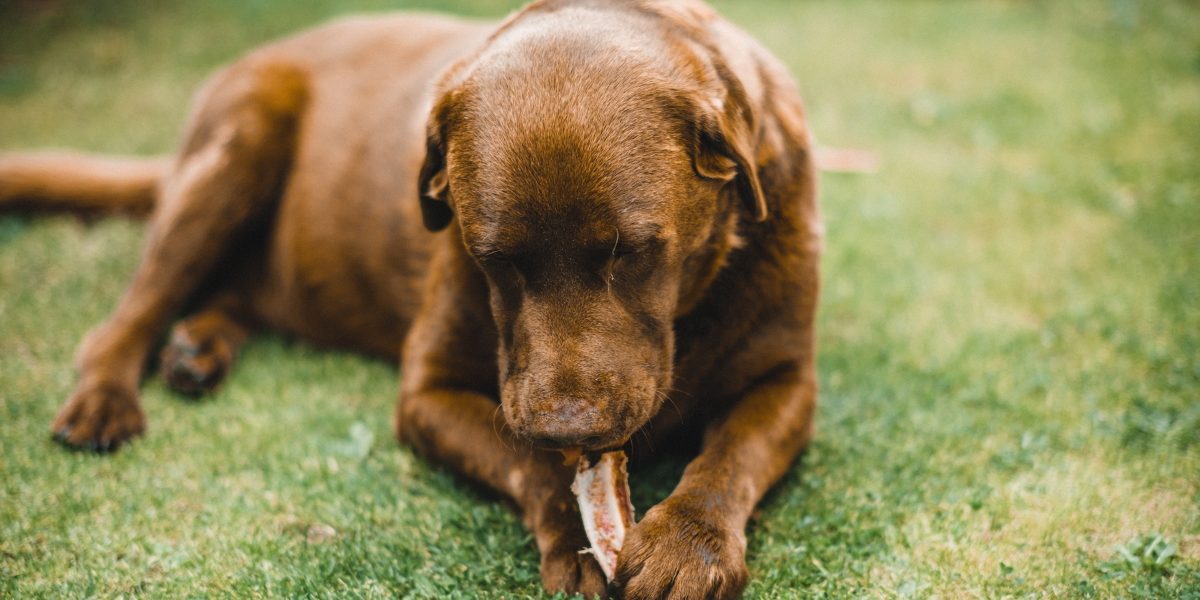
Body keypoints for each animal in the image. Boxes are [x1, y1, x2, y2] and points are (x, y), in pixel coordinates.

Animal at [0, 0, 820, 595]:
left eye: (635, 252)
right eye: (493, 259)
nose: (567, 428)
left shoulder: (789, 381)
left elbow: (732, 456)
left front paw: (688, 544)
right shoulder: (427, 391)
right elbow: (523, 461)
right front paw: (577, 539)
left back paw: (196, 349)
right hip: (237, 145)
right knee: (126, 317)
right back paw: (107, 399)